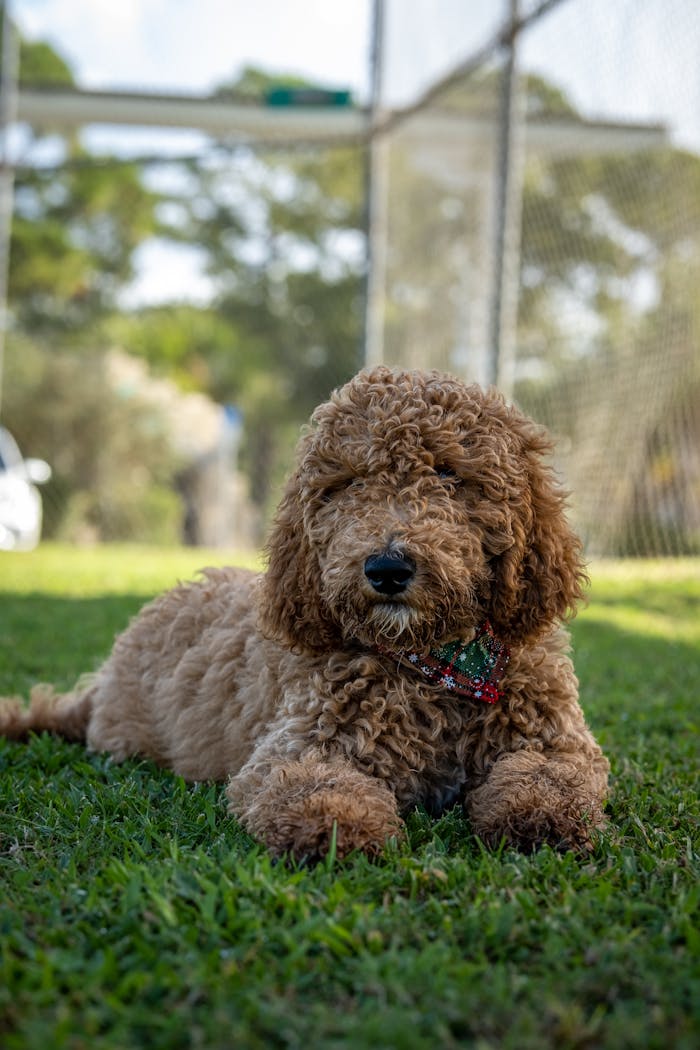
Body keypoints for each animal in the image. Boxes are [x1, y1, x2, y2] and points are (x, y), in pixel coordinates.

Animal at [0, 369, 608, 860]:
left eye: (449, 475)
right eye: (349, 483)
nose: (387, 568)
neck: (437, 663)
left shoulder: (557, 741)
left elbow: (550, 779)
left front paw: (541, 820)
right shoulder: (298, 744)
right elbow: (316, 787)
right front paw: (340, 830)